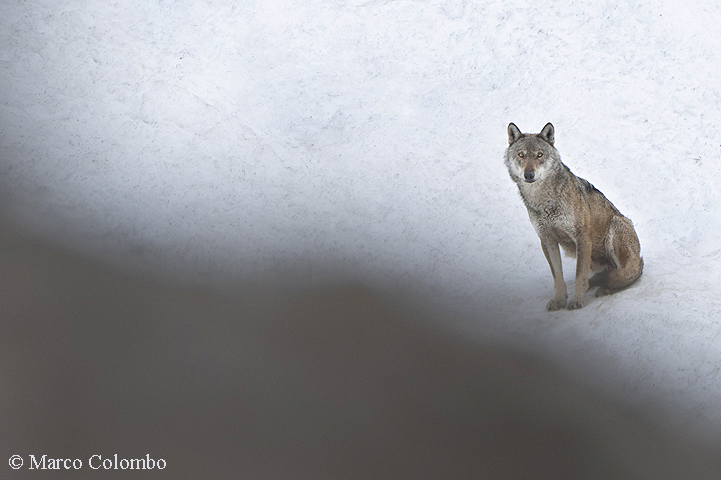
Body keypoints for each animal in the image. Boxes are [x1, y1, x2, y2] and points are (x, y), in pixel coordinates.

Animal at [505, 123, 643, 310]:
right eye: (521, 155)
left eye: (540, 155)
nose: (529, 174)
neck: (545, 202)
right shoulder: (547, 240)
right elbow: (557, 277)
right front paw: (559, 300)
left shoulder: (582, 238)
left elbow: (579, 275)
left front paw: (577, 300)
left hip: (616, 226)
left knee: (629, 272)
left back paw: (606, 287)